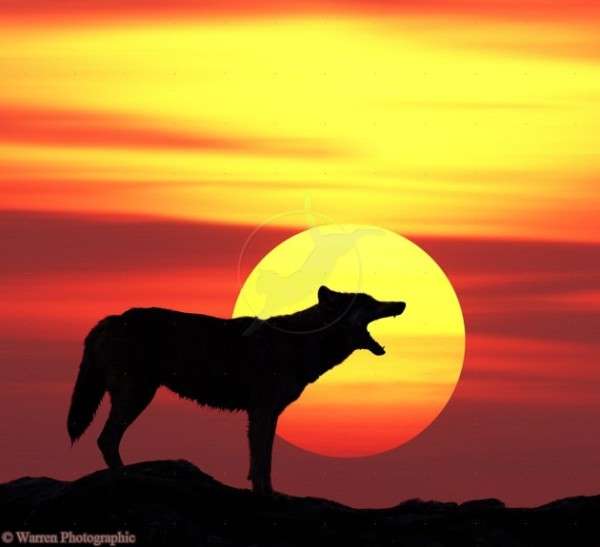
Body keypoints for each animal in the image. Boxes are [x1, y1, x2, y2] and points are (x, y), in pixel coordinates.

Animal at [68, 284, 406, 494]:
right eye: (370, 302)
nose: (402, 303)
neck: (300, 342)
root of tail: (111, 318)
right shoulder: (262, 412)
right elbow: (263, 463)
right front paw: (266, 495)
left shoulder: (265, 414)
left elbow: (260, 460)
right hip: (137, 396)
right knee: (106, 439)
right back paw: (127, 477)